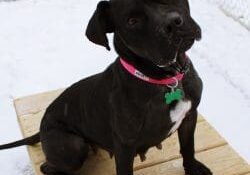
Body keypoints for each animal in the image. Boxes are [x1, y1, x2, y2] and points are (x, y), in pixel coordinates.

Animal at [0, 0, 213, 174]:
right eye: (132, 21)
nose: (173, 23)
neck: (166, 79)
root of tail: (41, 128)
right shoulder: (125, 146)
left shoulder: (190, 116)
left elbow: (188, 147)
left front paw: (193, 168)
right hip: (72, 146)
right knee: (48, 166)